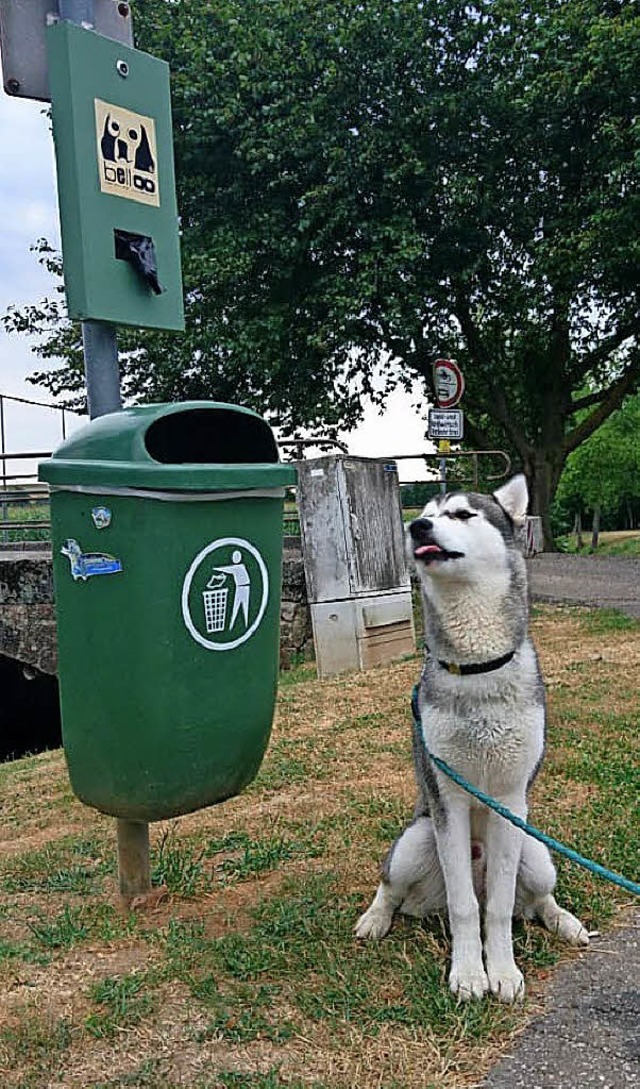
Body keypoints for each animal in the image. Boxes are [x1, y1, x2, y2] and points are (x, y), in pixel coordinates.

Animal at [357, 476, 587, 1001]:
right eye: (425, 513)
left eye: (462, 514)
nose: (417, 526)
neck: (477, 667)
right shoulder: (448, 800)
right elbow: (466, 907)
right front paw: (467, 973)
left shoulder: (509, 802)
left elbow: (497, 909)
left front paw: (501, 971)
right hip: (417, 838)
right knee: (393, 887)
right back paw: (375, 918)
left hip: (536, 852)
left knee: (537, 900)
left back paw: (565, 922)